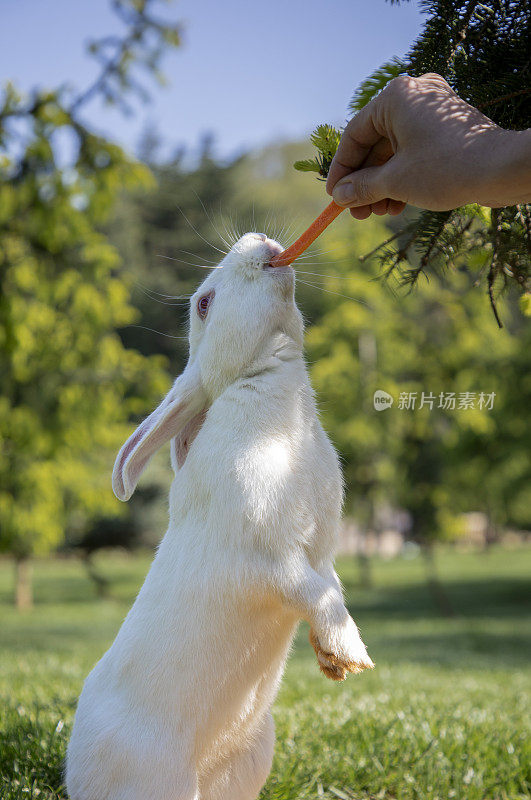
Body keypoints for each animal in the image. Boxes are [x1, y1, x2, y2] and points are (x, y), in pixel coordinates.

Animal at [66, 231, 374, 800]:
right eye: (204, 304)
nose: (259, 240)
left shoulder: (320, 555)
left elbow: (332, 589)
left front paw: (330, 660)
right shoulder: (269, 559)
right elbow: (317, 595)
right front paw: (352, 654)